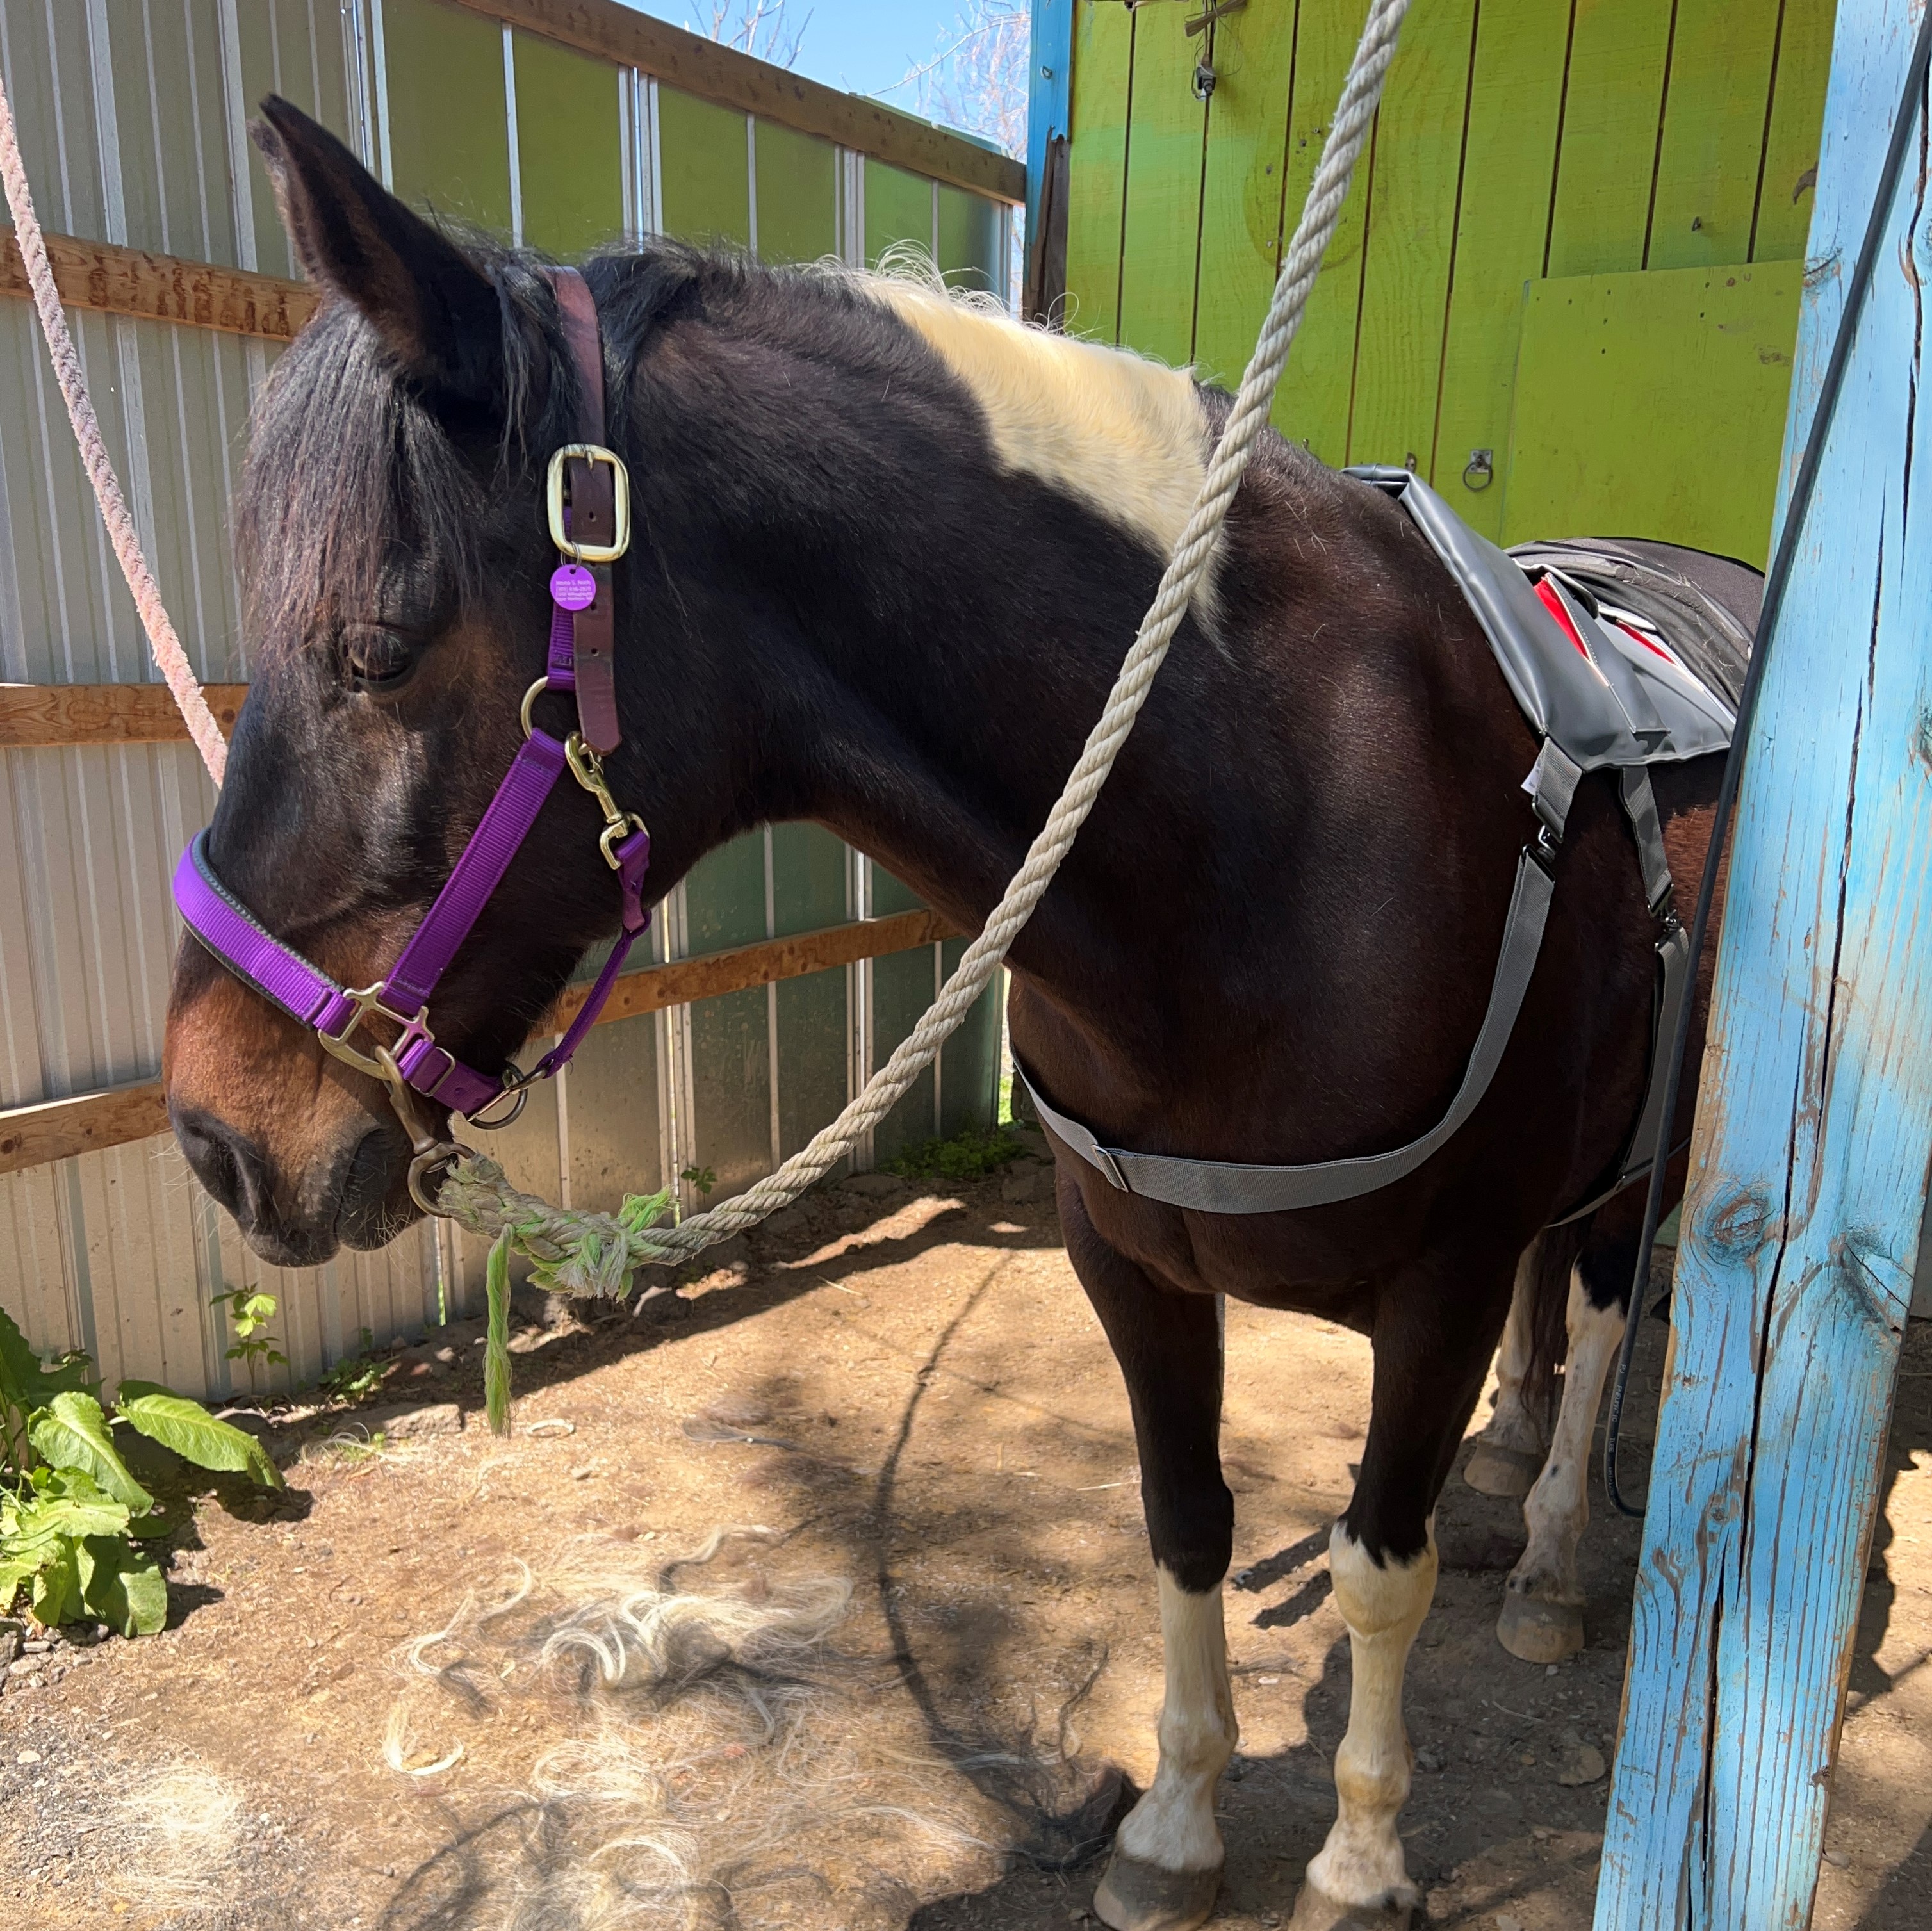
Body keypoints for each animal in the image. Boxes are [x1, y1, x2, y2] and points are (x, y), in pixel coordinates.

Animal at [166, 102, 1739, 1931]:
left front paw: (1356, 1856)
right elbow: (1185, 1520)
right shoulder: (1126, 1257)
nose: (212, 1130)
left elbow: (1372, 1567)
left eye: (376, 646)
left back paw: (1549, 1555)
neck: (1288, 808)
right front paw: (1173, 1829)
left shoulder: (1437, 1278)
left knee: (1611, 1303)